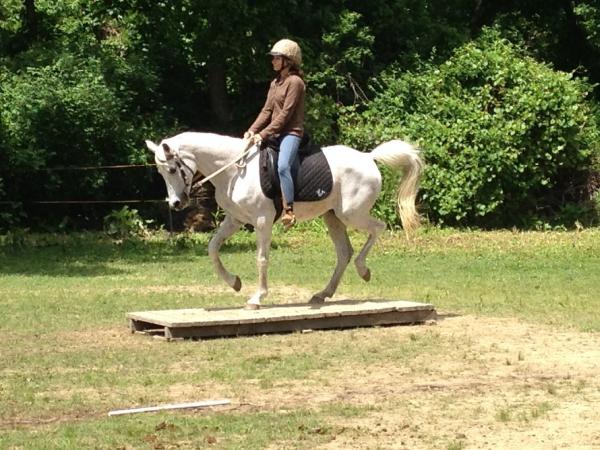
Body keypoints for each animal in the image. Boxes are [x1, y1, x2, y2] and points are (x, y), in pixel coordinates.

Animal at [146, 132, 422, 310]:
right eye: (161, 171)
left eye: (172, 169)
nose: (176, 203)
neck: (234, 169)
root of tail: (368, 157)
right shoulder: (235, 220)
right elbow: (213, 248)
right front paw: (234, 283)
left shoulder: (262, 221)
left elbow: (261, 259)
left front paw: (256, 298)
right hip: (332, 216)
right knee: (344, 252)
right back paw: (323, 294)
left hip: (351, 213)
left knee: (377, 229)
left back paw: (363, 270)